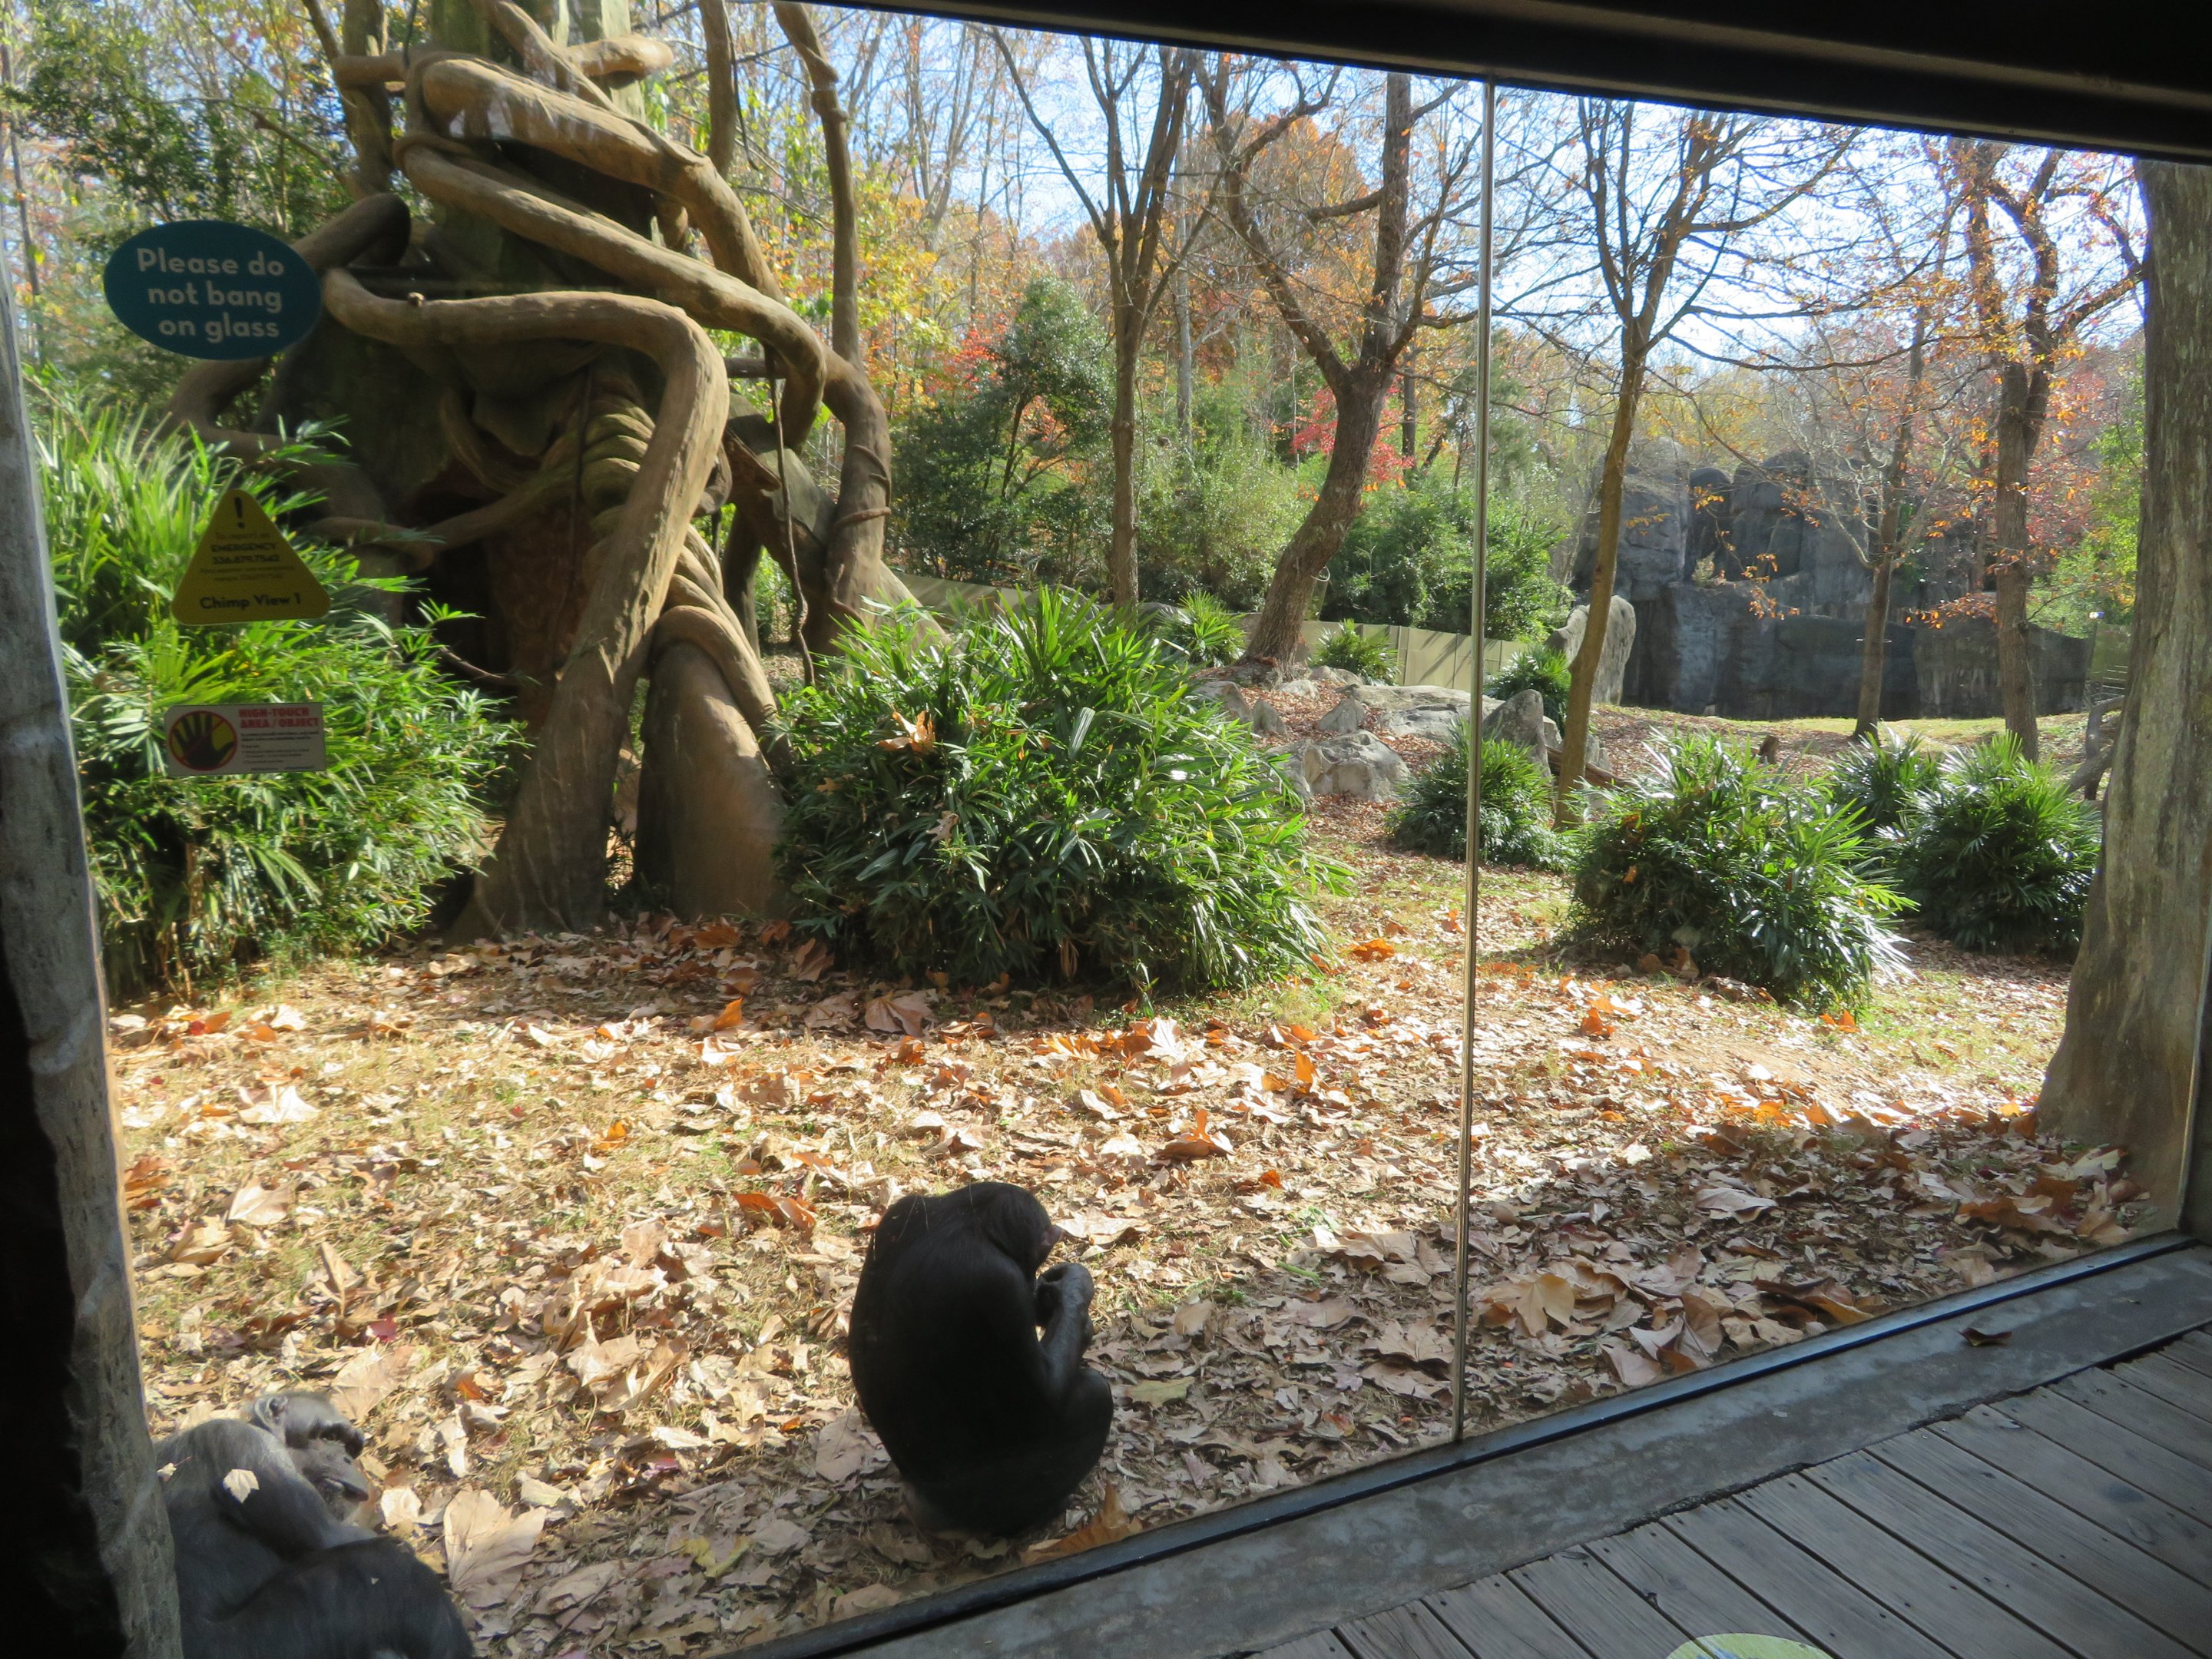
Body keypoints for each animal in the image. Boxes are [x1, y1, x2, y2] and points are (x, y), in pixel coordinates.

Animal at [156, 1392, 473, 1659]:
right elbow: (332, 1537)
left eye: (350, 1448)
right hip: (262, 1645)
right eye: (328, 1436)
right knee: (386, 1570)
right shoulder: (247, 1445)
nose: (347, 1459)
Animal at [848, 1182, 1113, 1538]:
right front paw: (1073, 1289)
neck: (966, 1220)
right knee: (1096, 1396)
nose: (1034, 1282)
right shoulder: (999, 1285)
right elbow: (1046, 1401)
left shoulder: (897, 1214)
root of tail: (919, 1503)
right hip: (993, 1502)